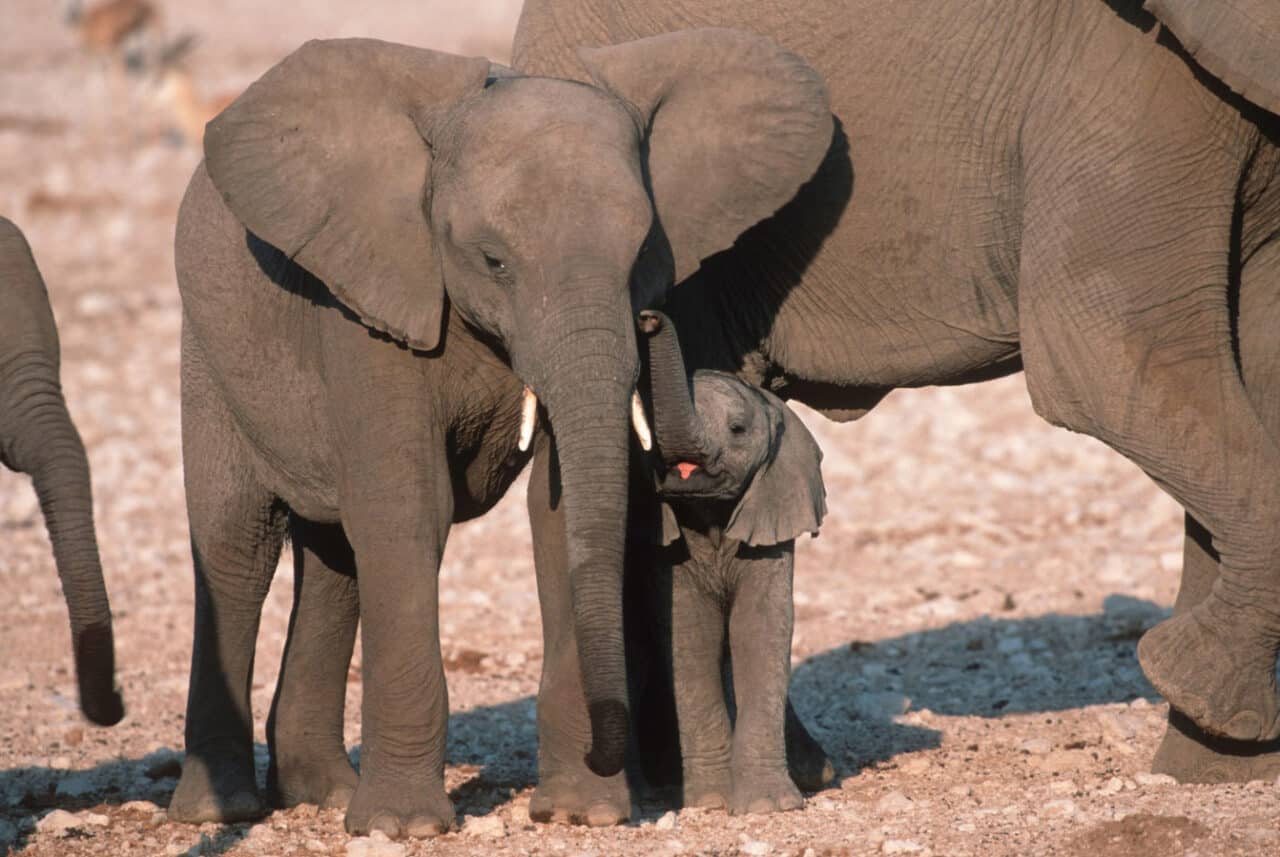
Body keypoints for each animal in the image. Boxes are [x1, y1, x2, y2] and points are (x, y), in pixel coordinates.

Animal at [632, 312, 829, 813]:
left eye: (738, 429)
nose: (648, 318)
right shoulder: (669, 551)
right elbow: (691, 636)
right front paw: (710, 802)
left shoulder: (771, 516)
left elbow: (759, 628)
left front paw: (767, 807)